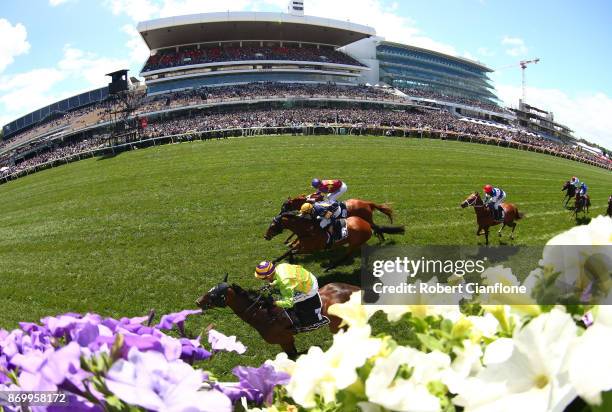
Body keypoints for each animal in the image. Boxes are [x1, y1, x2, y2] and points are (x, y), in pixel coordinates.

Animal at [196, 276, 358, 358]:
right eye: (209, 290)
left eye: (214, 294)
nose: (197, 301)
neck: (263, 313)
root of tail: (353, 288)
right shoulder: (287, 341)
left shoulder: (285, 339)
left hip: (337, 325)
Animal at [264, 212, 404, 270]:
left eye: (273, 225)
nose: (266, 236)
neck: (307, 230)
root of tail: (367, 223)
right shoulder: (300, 245)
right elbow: (287, 252)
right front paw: (274, 262)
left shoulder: (309, 249)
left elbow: (291, 252)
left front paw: (292, 263)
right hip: (359, 242)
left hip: (354, 243)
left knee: (347, 255)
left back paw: (330, 267)